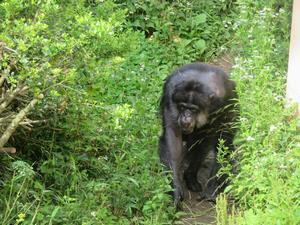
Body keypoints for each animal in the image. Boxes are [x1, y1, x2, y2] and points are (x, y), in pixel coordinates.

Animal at [158, 62, 238, 208]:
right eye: (183, 107)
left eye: (193, 109)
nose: (186, 116)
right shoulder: (170, 97)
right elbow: (173, 140)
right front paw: (175, 188)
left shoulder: (224, 102)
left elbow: (222, 141)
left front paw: (212, 190)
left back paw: (191, 178)